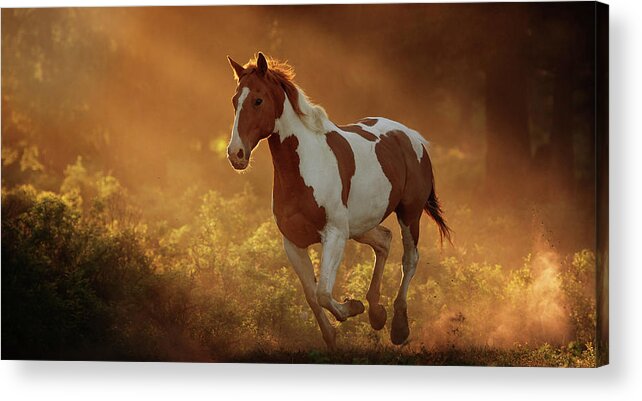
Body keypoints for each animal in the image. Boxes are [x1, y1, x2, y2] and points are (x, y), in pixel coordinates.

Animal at [225, 52, 450, 346]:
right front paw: (333, 335)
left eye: (258, 100)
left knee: (410, 259)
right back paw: (377, 314)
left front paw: (352, 307)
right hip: (359, 226)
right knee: (384, 240)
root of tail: (412, 137)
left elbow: (322, 292)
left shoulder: (333, 235)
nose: (236, 154)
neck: (306, 165)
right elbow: (311, 295)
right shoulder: (293, 242)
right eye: (234, 101)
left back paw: (399, 328)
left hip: (408, 215)